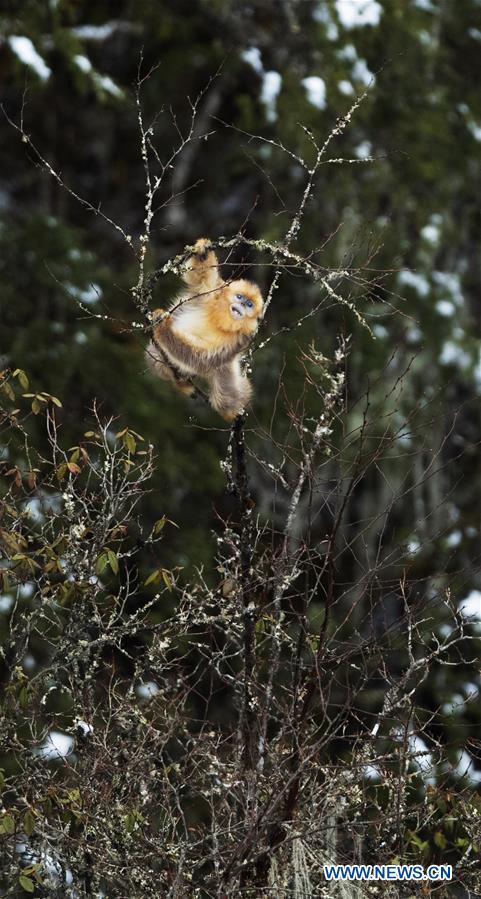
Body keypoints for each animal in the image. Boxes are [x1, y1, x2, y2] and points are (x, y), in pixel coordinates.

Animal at [146, 238, 264, 421]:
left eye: (250, 304)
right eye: (239, 297)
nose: (243, 304)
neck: (222, 320)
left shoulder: (243, 337)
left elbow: (203, 358)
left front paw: (163, 327)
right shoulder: (213, 292)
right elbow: (200, 277)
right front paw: (203, 252)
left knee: (225, 397)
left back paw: (231, 413)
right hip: (158, 354)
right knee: (156, 358)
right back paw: (180, 383)